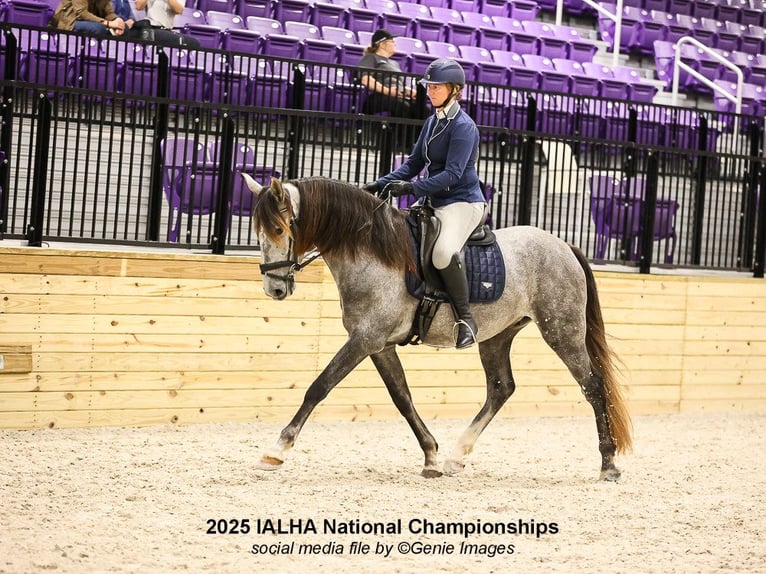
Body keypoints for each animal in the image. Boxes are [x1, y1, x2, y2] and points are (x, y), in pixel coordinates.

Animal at [242, 174, 633, 481]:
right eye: (258, 230)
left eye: (278, 229)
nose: (274, 289)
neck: (370, 251)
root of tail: (563, 244)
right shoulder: (379, 344)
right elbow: (402, 397)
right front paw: (430, 455)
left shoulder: (364, 340)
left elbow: (319, 387)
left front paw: (276, 451)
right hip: (496, 336)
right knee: (501, 388)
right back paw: (456, 457)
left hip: (562, 331)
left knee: (592, 386)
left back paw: (608, 465)